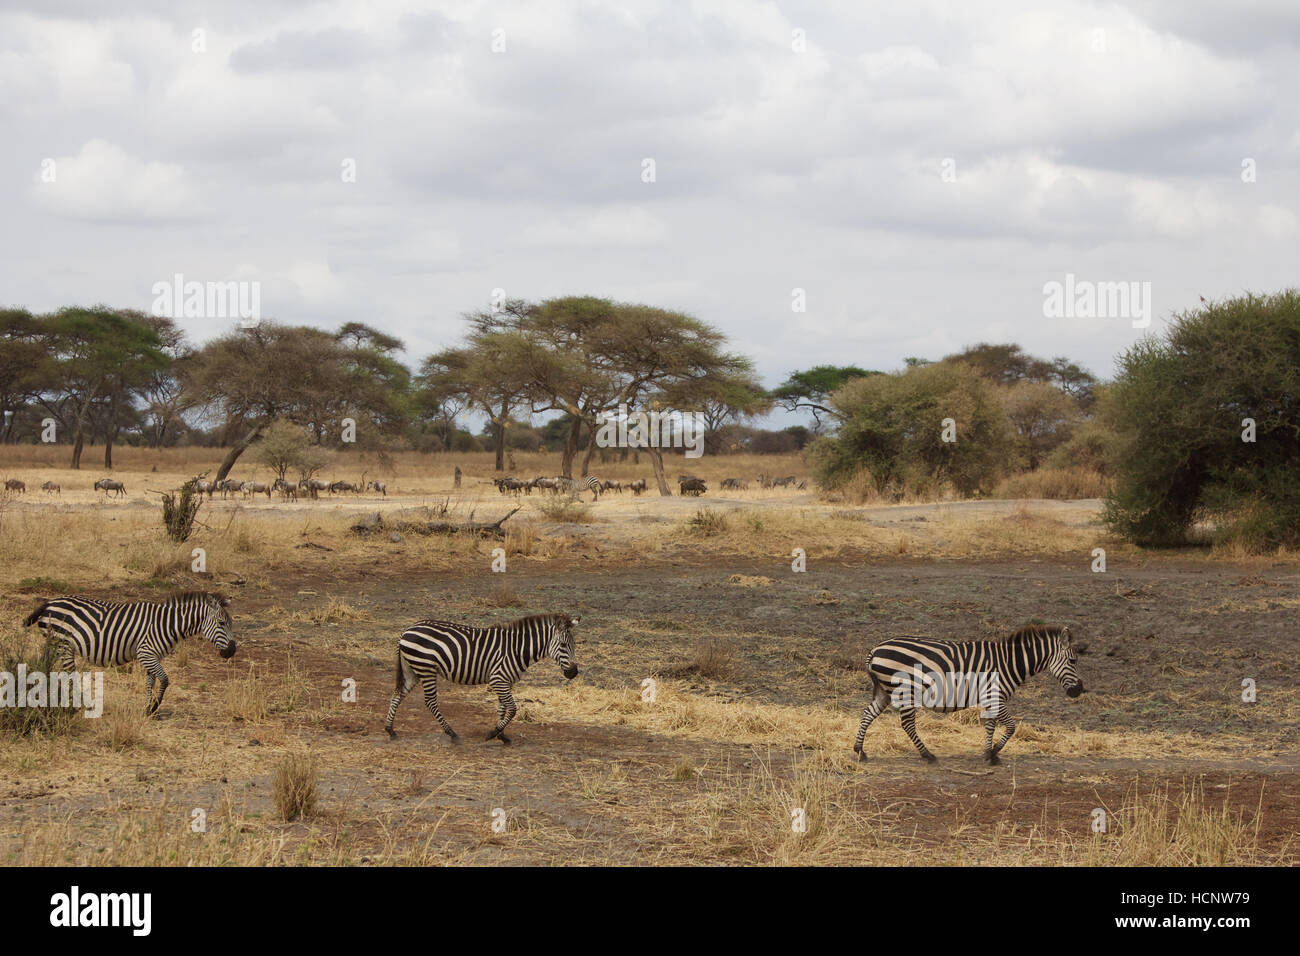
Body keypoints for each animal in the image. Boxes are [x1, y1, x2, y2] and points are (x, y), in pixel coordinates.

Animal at [22, 591, 237, 716]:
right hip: (63, 643)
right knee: (69, 675)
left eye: (230, 624)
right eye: (221, 623)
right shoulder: (145, 653)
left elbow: (150, 682)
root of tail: (49, 602)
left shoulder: (153, 656)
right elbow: (165, 679)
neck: (168, 624)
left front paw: (147, 709)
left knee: (45, 668)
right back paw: (75, 706)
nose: (232, 651)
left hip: (53, 644)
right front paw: (155, 706)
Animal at [385, 612, 580, 745]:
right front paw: (493, 733)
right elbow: (513, 708)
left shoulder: (505, 681)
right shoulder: (498, 679)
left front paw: (502, 735)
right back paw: (452, 733)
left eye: (574, 645)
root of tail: (407, 630)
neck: (517, 649)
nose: (574, 673)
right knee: (430, 701)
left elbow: (503, 708)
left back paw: (390, 730)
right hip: (426, 669)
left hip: (412, 670)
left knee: (397, 694)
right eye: (563, 645)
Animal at [854, 625, 1085, 765]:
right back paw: (928, 755)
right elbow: (1010, 726)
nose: (1078, 691)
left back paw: (859, 751)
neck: (1009, 663)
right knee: (907, 724)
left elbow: (991, 726)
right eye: (1073, 661)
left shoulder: (991, 699)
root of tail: (875, 650)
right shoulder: (994, 695)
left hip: (884, 690)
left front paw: (988, 754)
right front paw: (994, 752)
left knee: (868, 713)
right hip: (905, 690)